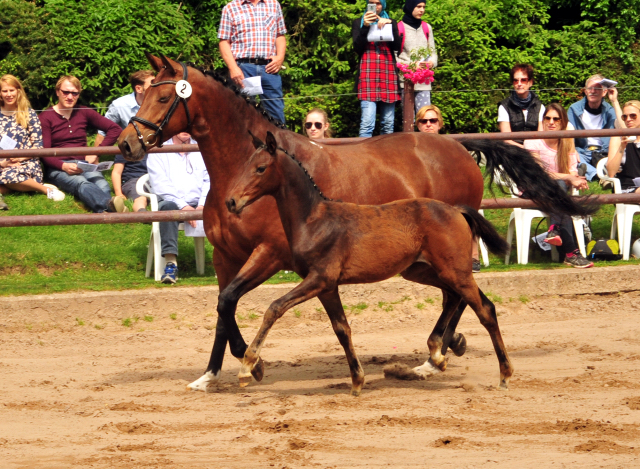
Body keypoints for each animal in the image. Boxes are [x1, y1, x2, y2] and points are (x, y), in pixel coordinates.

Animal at [226, 132, 516, 394]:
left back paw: (503, 373)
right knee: (455, 298)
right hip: (424, 271)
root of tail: (456, 210)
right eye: (245, 165)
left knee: (485, 310)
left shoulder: (320, 278)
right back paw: (436, 355)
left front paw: (248, 366)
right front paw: (357, 381)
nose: (231, 201)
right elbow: (342, 329)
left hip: (454, 271)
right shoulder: (327, 287)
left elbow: (274, 308)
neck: (313, 220)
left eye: (261, 168)